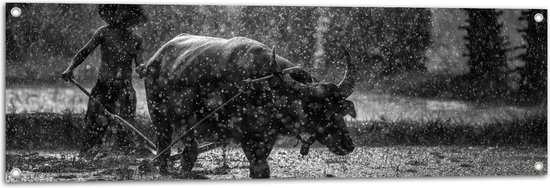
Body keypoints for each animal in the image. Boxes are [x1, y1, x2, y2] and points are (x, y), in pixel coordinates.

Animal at [142, 33, 358, 178]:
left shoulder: (268, 136)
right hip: (159, 117)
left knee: (189, 152)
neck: (266, 88)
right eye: (316, 109)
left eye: (339, 109)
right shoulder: (246, 136)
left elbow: (259, 169)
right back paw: (164, 171)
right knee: (166, 148)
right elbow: (261, 168)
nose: (347, 144)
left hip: (186, 124)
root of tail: (154, 59)